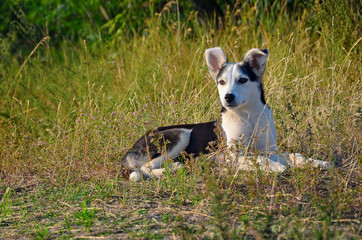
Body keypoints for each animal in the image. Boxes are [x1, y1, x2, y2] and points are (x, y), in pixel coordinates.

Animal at [122, 47, 330, 181]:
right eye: (221, 82)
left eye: (243, 80)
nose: (228, 97)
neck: (248, 116)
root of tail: (128, 152)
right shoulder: (232, 155)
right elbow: (255, 159)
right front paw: (274, 167)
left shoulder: (270, 149)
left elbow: (294, 155)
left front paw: (316, 162)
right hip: (181, 134)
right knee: (143, 169)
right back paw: (167, 171)